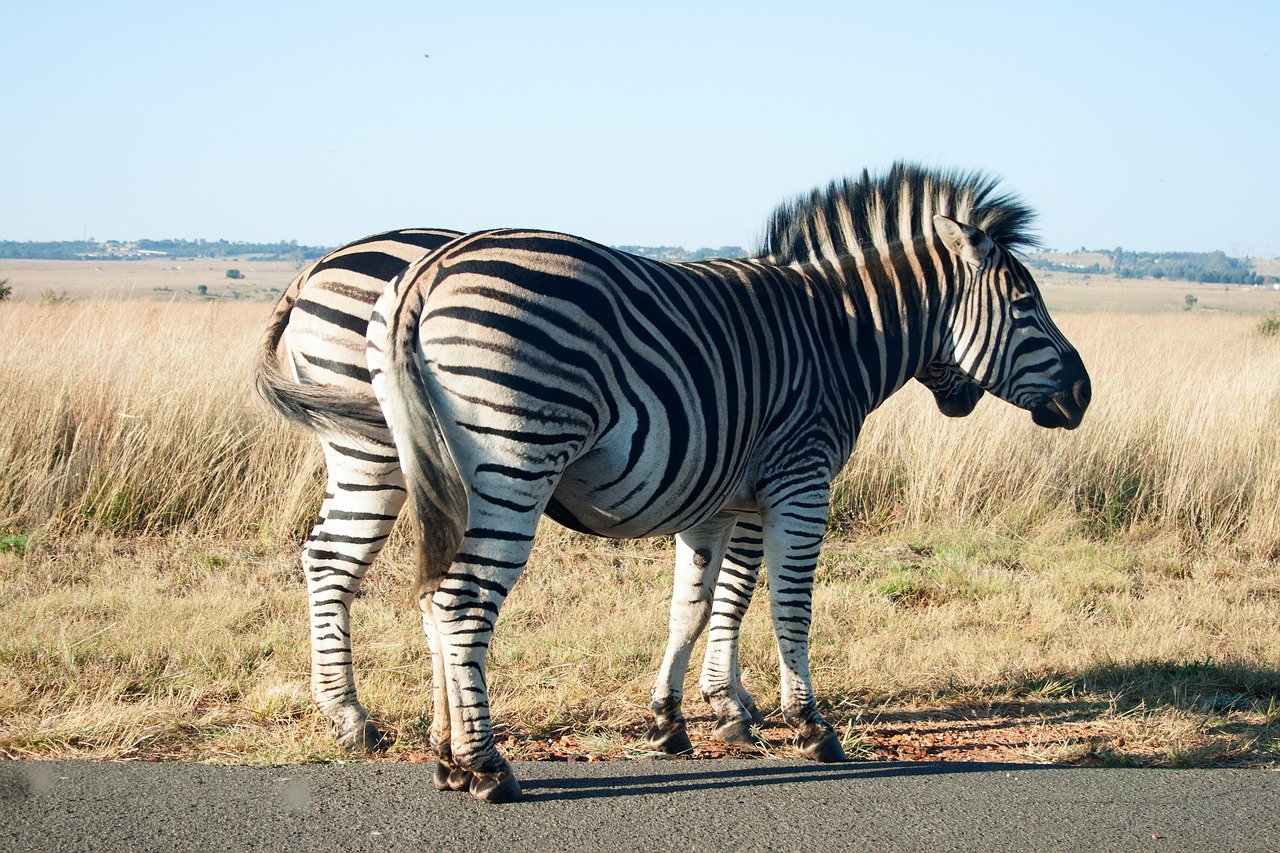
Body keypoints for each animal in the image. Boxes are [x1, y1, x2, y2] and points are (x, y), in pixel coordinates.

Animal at [363, 162, 1090, 799]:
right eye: (1026, 305)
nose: (1082, 395)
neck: (840, 334)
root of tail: (425, 275)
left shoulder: (717, 499)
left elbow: (698, 606)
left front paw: (675, 721)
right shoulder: (801, 478)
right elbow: (787, 605)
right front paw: (808, 726)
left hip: (440, 473)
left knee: (430, 597)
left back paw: (446, 757)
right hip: (516, 459)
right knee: (462, 602)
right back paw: (486, 766)